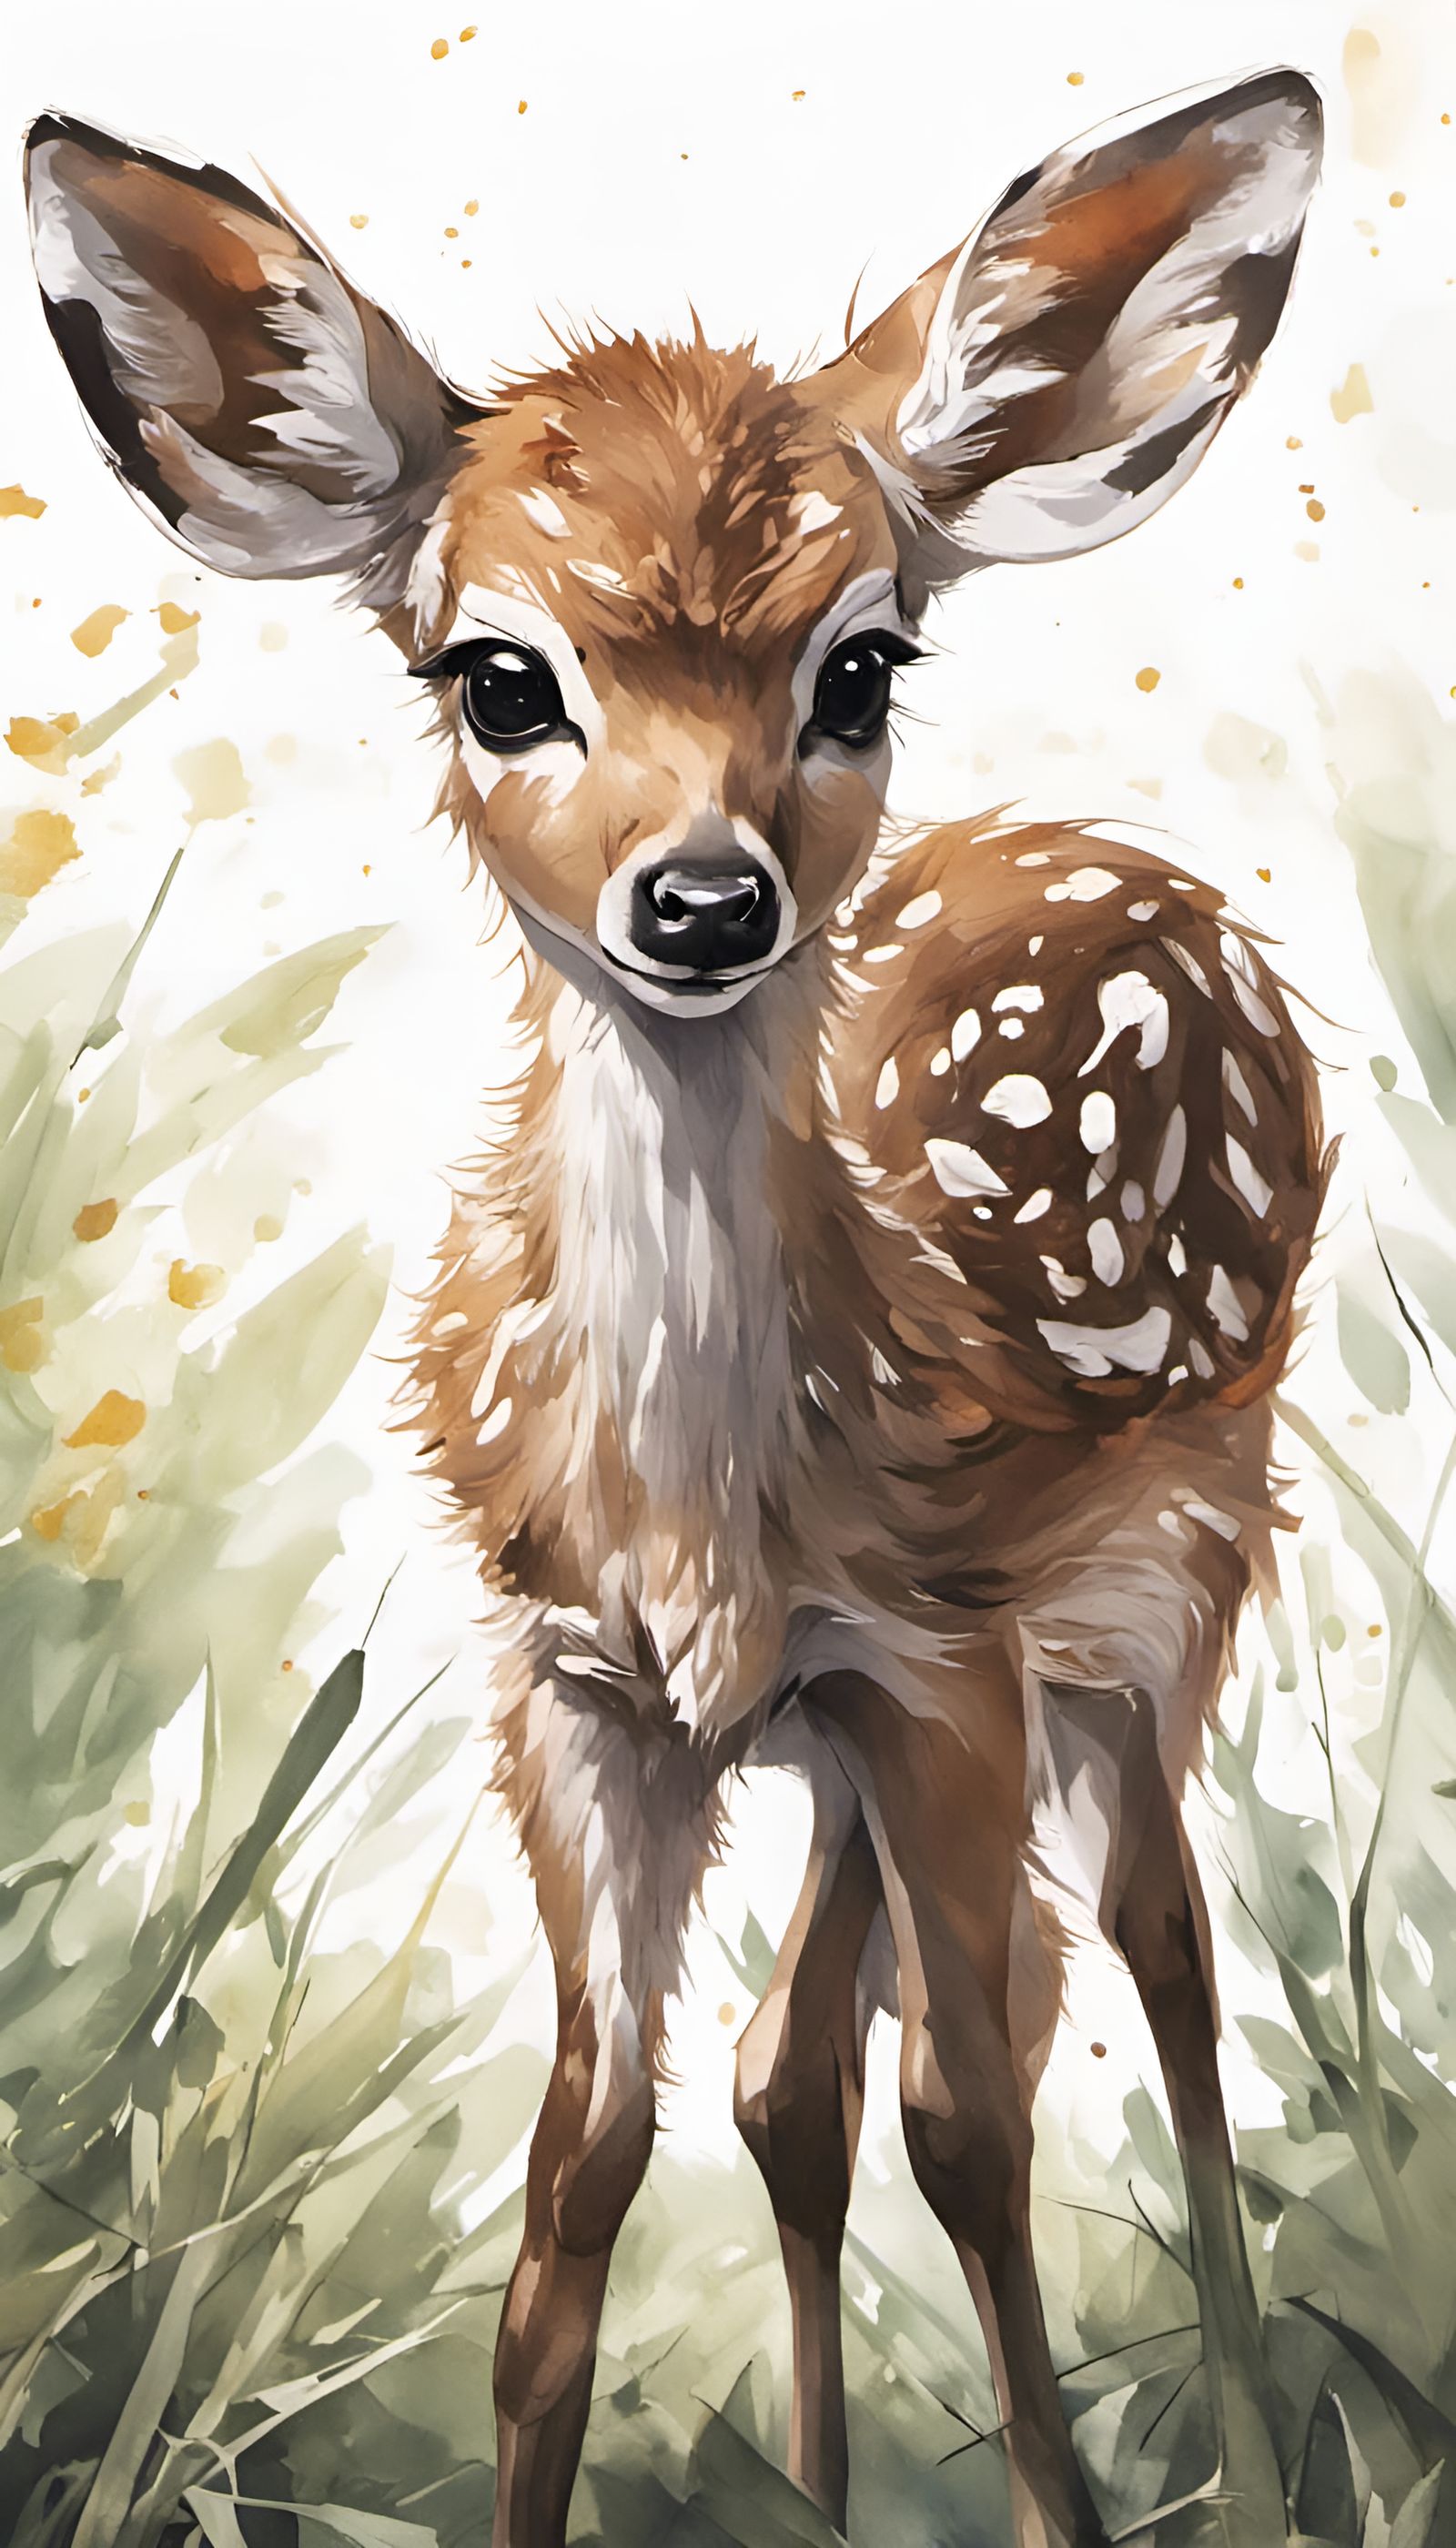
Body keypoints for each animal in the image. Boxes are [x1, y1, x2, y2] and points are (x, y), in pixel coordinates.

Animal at [26, 68, 1328, 2548]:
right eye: (496, 672)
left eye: (862, 660)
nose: (705, 897)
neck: (716, 1504)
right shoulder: (581, 1687)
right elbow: (585, 2183)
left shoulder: (947, 1654)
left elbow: (977, 2127)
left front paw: (1069, 2502)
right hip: (831, 1732)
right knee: (790, 2062)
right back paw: (817, 2487)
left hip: (1174, 1564)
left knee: (1161, 1957)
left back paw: (1243, 2425)